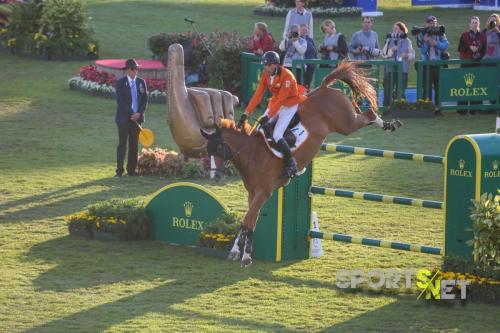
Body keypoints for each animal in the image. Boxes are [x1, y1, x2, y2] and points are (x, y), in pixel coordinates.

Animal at [201, 61, 400, 266]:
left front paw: (246, 257)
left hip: (345, 124)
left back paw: (389, 126)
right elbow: (248, 221)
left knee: (368, 113)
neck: (252, 154)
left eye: (219, 149)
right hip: (347, 121)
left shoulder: (263, 193)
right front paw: (236, 252)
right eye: (207, 152)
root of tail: (324, 88)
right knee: (362, 113)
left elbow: (247, 221)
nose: (215, 176)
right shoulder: (253, 194)